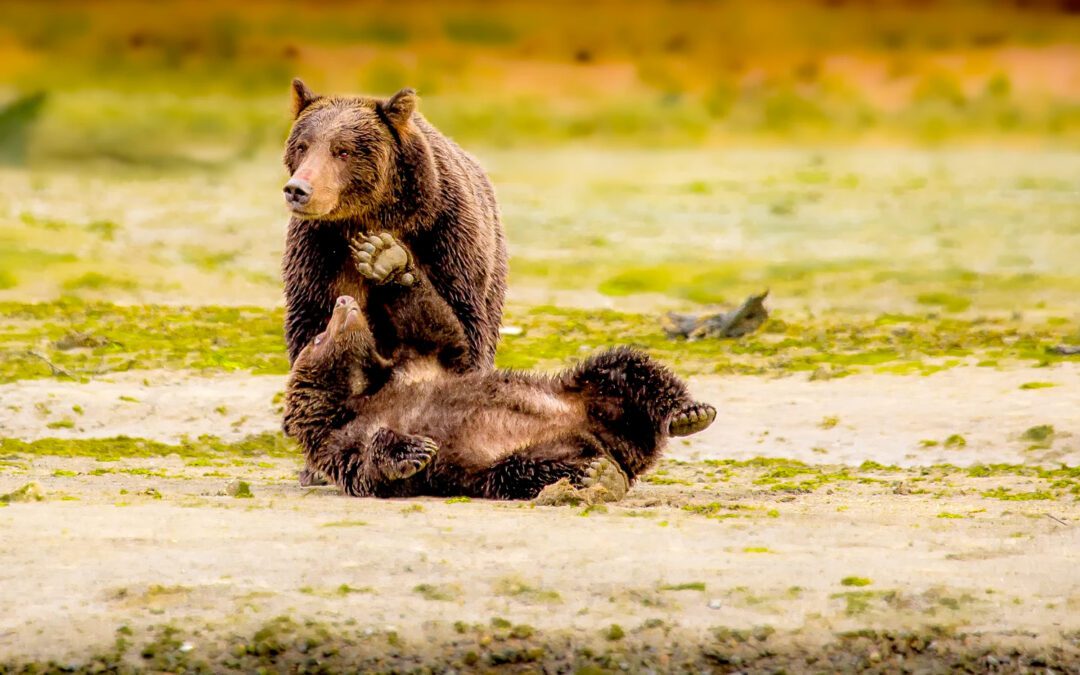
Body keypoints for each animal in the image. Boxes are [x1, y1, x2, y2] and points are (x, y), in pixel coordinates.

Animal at [282, 80, 509, 483]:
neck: (373, 216)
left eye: (342, 150)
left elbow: (461, 329)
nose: (298, 189)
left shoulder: (445, 241)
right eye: (302, 145)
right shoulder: (319, 257)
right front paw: (314, 467)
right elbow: (312, 326)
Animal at [285, 231, 717, 501]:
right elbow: (368, 467)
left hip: (583, 393)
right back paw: (601, 476)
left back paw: (689, 413)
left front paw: (383, 257)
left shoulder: (420, 364)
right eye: (318, 337)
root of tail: (619, 444)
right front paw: (414, 449)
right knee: (534, 468)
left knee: (622, 367)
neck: (364, 389)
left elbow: (438, 330)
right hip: (521, 458)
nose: (343, 302)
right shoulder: (339, 440)